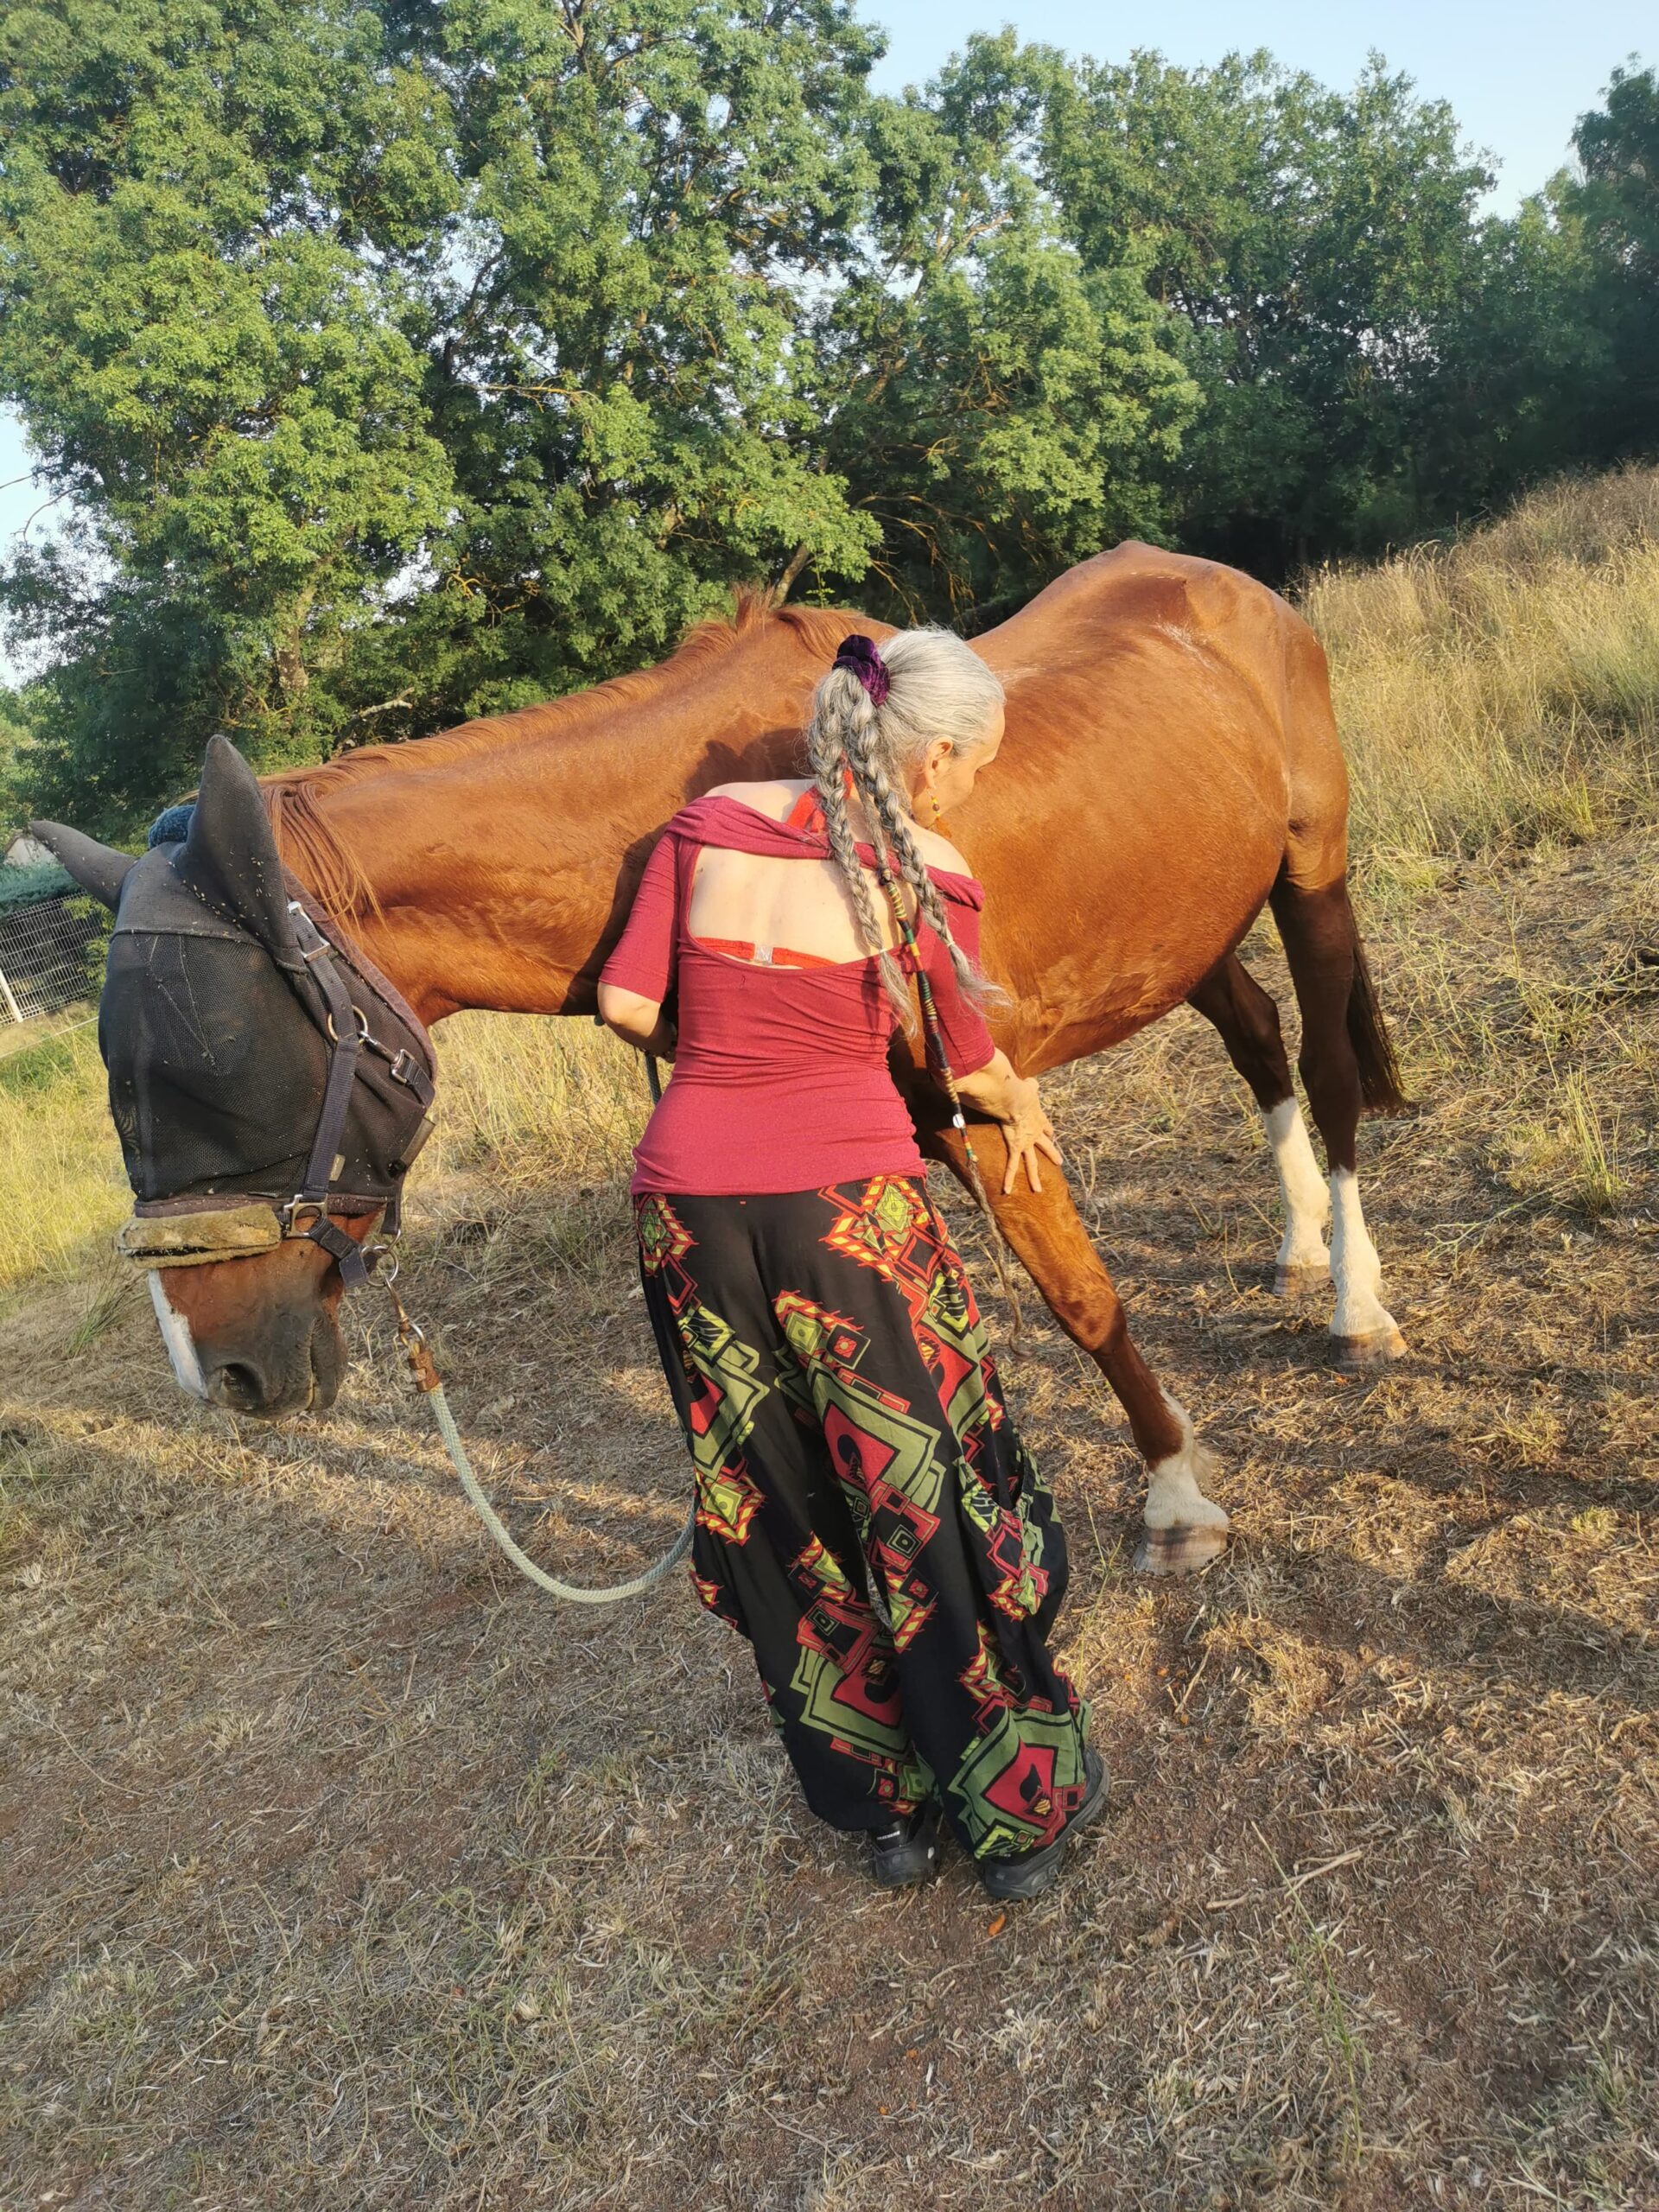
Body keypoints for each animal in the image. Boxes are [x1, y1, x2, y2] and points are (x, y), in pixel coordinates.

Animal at [32, 538, 1407, 1578]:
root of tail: (1225, 586)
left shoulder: (981, 1106)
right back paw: (1297, 1243)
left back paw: (1355, 1299)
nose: (218, 1370)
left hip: (1309, 872)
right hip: (1184, 925)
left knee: (1330, 1073)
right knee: (1259, 1039)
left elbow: (1078, 1294)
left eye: (215, 1061)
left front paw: (1174, 1496)